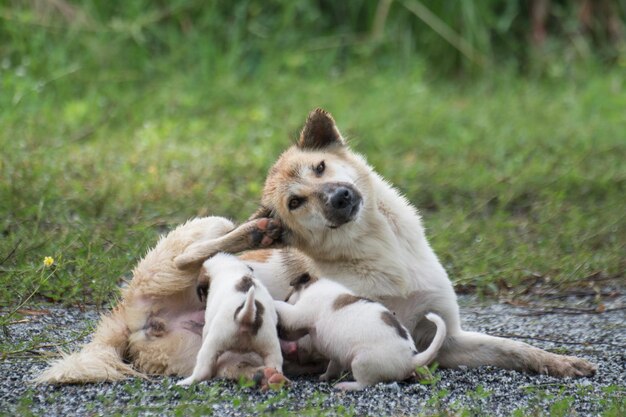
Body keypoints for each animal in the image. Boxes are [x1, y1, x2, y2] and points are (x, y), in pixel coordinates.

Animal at [177, 252, 282, 386]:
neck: (230, 267)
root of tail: (246, 316)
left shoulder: (207, 327)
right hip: (270, 345)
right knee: (275, 365)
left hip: (214, 342)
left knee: (203, 369)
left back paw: (186, 381)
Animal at [272, 272, 444, 390]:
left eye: (287, 297)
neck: (314, 285)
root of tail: (410, 359)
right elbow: (332, 367)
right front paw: (326, 376)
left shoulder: (297, 315)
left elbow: (283, 307)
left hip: (361, 362)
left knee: (364, 384)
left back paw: (346, 386)